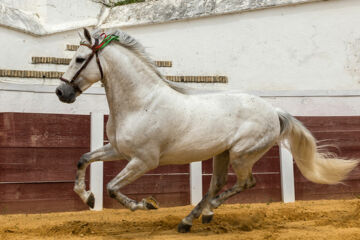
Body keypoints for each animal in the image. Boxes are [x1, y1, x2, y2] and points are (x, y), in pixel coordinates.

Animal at [54, 28, 358, 232]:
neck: (141, 102)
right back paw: (190, 220)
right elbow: (83, 159)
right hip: (222, 154)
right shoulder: (118, 150)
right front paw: (87, 198)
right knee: (217, 183)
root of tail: (274, 111)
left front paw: (146, 205)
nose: (61, 92)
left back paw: (206, 213)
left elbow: (112, 187)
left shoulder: (143, 161)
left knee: (246, 183)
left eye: (79, 59)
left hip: (241, 154)